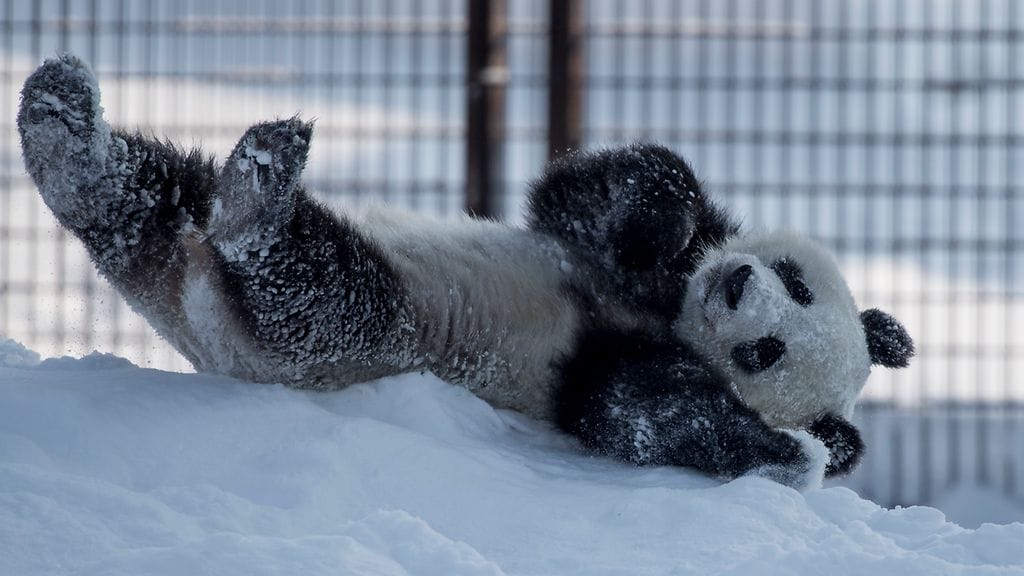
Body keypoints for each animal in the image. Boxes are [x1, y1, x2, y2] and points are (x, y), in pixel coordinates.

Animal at [18, 54, 913, 490]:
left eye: (767, 351)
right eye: (794, 282)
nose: (735, 288)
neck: (666, 315)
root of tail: (187, 290)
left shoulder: (596, 364)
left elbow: (631, 412)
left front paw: (787, 449)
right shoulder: (598, 246)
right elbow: (591, 189)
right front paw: (672, 222)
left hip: (363, 333)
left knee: (319, 292)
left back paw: (252, 202)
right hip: (183, 221)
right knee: (154, 189)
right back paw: (65, 120)